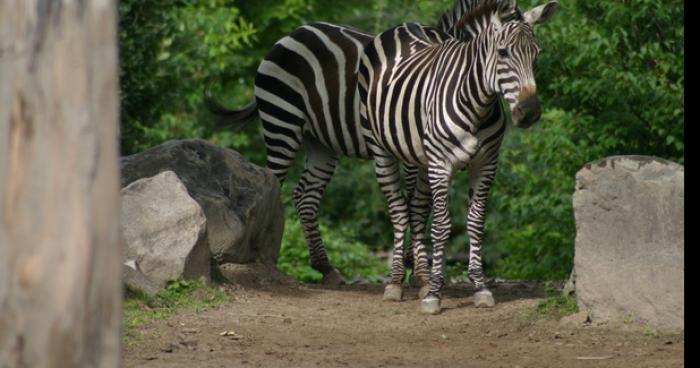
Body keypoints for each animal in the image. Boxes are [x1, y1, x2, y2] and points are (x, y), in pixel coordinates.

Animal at [205, 0, 500, 288]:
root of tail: (292, 34)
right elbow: (415, 203)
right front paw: (416, 269)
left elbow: (423, 204)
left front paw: (418, 268)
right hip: (282, 122)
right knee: (273, 185)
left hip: (320, 143)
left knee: (305, 196)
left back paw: (326, 268)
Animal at [358, 0, 560, 314]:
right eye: (503, 52)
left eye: (536, 54)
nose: (529, 113)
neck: (477, 103)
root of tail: (404, 25)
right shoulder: (442, 165)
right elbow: (442, 226)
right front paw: (435, 295)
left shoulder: (486, 164)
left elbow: (475, 223)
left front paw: (478, 286)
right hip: (381, 148)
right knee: (399, 210)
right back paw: (395, 283)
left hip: (419, 158)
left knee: (417, 209)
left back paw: (422, 278)